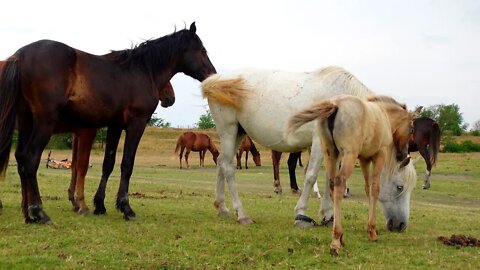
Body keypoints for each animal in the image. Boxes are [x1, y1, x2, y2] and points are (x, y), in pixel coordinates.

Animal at [0, 21, 216, 224]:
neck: (141, 71)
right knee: (30, 158)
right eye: (202, 50)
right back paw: (39, 212)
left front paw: (100, 205)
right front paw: (126, 208)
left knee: (20, 158)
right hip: (44, 122)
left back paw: (28, 214)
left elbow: (108, 164)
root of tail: (19, 56)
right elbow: (126, 164)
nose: (212, 74)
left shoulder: (114, 125)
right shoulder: (136, 125)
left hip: (27, 122)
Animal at [200, 66, 416, 230]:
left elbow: (331, 178)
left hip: (238, 133)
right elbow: (311, 176)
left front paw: (328, 216)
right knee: (228, 168)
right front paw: (301, 215)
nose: (401, 225)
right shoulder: (319, 144)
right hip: (229, 131)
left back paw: (222, 208)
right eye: (400, 186)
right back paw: (241, 214)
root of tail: (215, 80)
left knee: (221, 163)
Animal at [286, 94, 418, 255]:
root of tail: (335, 104)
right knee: (339, 184)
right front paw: (372, 231)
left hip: (330, 154)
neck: (383, 114)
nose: (403, 154)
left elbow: (368, 189)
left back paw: (340, 236)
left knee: (332, 185)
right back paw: (336, 240)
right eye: (412, 129)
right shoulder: (379, 155)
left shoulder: (364, 159)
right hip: (348, 155)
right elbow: (375, 189)